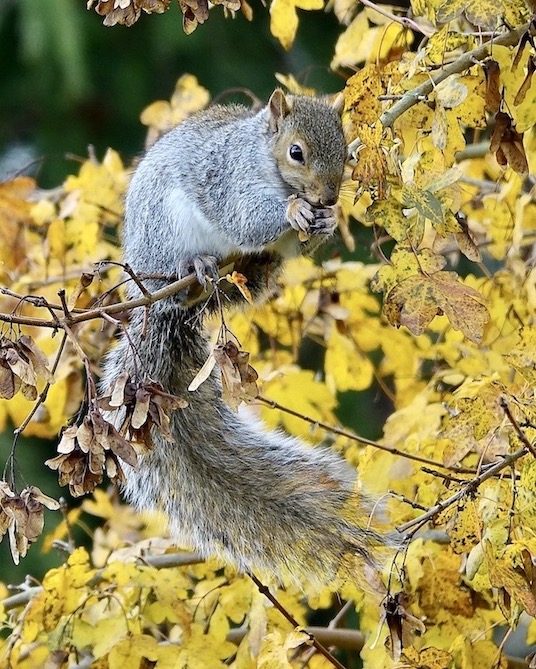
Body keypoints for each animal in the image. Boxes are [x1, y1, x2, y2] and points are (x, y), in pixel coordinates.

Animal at [101, 89, 388, 582]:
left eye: (344, 149)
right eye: (296, 152)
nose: (329, 197)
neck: (266, 162)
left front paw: (328, 221)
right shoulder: (227, 180)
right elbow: (245, 219)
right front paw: (292, 211)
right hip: (163, 239)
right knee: (181, 271)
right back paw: (194, 268)